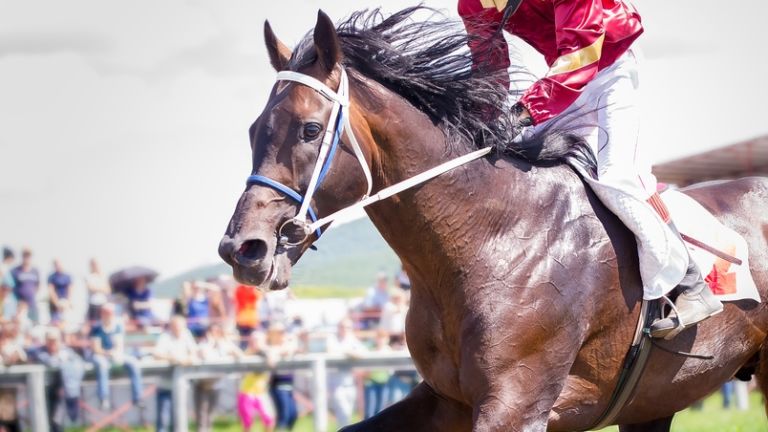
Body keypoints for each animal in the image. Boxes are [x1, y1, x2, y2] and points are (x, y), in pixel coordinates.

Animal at [214, 7, 768, 432]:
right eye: (253, 130)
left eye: (310, 130)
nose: (243, 249)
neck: (490, 238)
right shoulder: (447, 400)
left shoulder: (517, 405)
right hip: (654, 401)